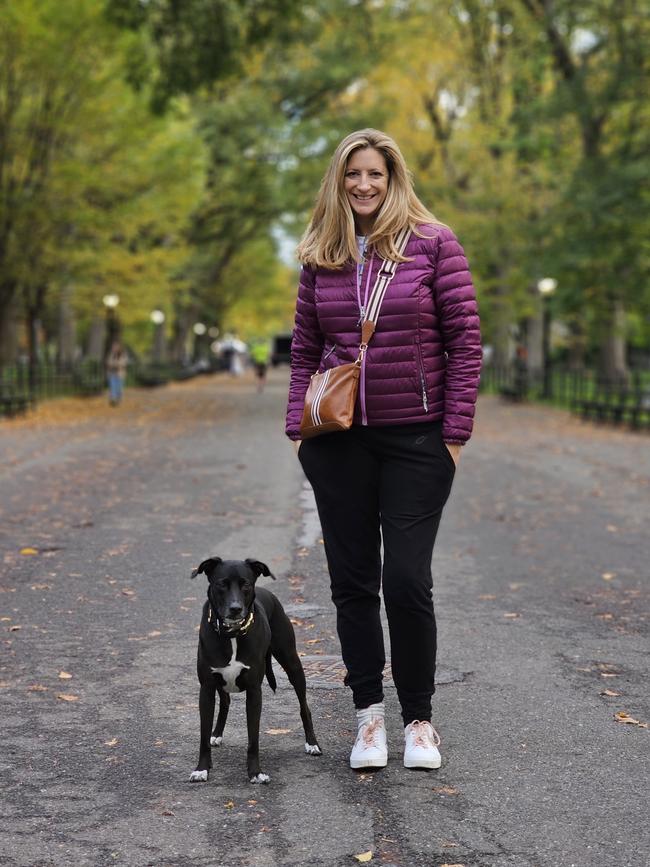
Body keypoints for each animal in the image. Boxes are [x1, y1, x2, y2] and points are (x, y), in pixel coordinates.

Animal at [187, 560, 318, 784]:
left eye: (246, 584)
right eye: (221, 584)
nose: (235, 608)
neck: (232, 634)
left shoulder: (255, 692)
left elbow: (253, 738)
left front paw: (255, 772)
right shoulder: (206, 689)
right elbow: (203, 736)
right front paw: (202, 769)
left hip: (292, 664)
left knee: (304, 706)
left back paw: (312, 743)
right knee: (225, 702)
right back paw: (217, 733)